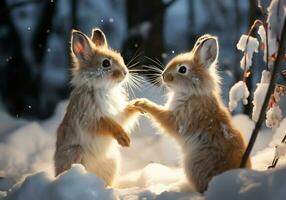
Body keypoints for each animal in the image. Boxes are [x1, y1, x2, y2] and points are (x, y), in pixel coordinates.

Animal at [54, 28, 140, 186]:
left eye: (120, 57)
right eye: (106, 63)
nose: (125, 73)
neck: (103, 89)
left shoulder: (118, 114)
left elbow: (125, 115)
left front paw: (139, 105)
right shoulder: (88, 116)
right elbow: (108, 124)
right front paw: (124, 140)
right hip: (76, 153)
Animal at [133, 34, 251, 192]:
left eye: (182, 69)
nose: (164, 76)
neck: (193, 93)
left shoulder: (179, 118)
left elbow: (160, 116)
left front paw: (141, 103)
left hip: (192, 166)